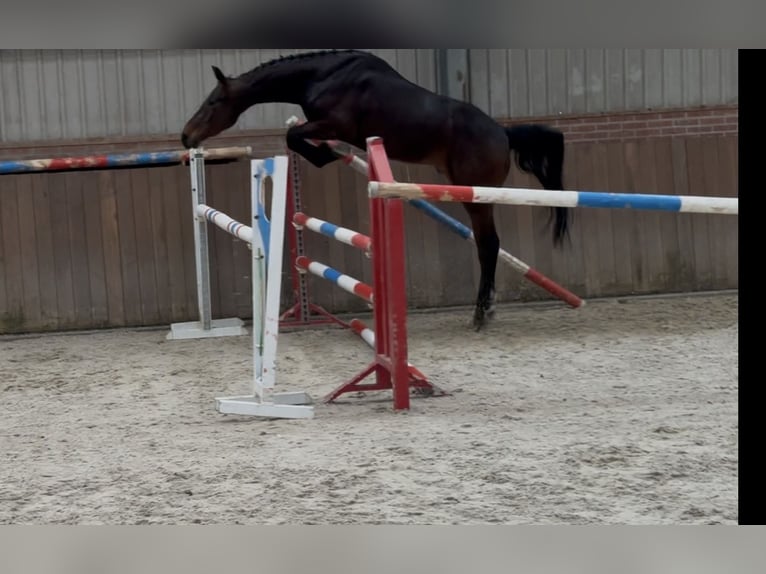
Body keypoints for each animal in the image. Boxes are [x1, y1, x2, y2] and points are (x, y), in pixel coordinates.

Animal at [181, 49, 570, 330]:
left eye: (214, 102)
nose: (186, 136)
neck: (325, 76)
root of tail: (503, 133)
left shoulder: (333, 123)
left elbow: (294, 135)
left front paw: (329, 154)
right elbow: (295, 135)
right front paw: (330, 152)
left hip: (474, 196)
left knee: (489, 245)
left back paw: (481, 314)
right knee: (488, 244)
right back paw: (484, 310)